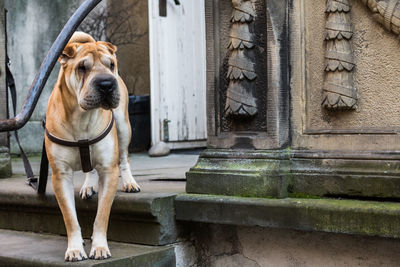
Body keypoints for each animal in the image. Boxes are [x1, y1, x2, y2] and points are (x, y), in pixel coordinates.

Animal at [45, 31, 141, 262]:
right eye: (82, 67)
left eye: (111, 65)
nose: (106, 83)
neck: (82, 118)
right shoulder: (60, 176)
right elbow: (70, 218)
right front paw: (74, 248)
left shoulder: (109, 171)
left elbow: (101, 215)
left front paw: (99, 247)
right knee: (89, 168)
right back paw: (88, 186)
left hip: (124, 126)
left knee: (124, 158)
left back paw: (130, 182)